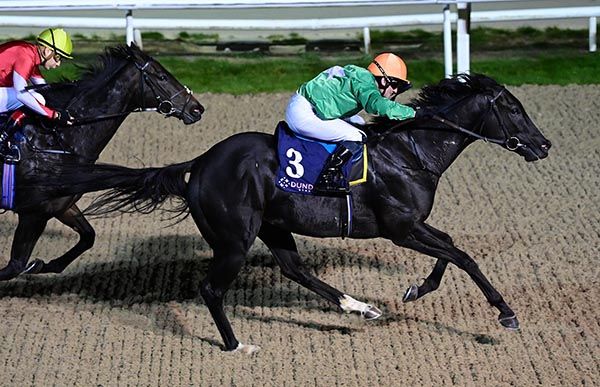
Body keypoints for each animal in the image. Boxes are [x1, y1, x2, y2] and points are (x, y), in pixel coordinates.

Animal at [0, 44, 204, 282]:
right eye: (162, 76)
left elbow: (89, 236)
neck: (57, 138)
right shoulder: (33, 213)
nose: (196, 109)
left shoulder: (62, 206)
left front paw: (42, 265)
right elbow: (14, 266)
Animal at [25, 73, 552, 354]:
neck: (411, 151)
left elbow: (450, 250)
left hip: (275, 228)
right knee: (212, 289)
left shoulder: (411, 227)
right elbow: (463, 256)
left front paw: (416, 289)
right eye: (514, 110)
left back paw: (358, 307)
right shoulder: (402, 228)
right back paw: (236, 345)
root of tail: (199, 164)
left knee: (296, 270)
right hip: (235, 239)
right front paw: (505, 313)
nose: (544, 145)